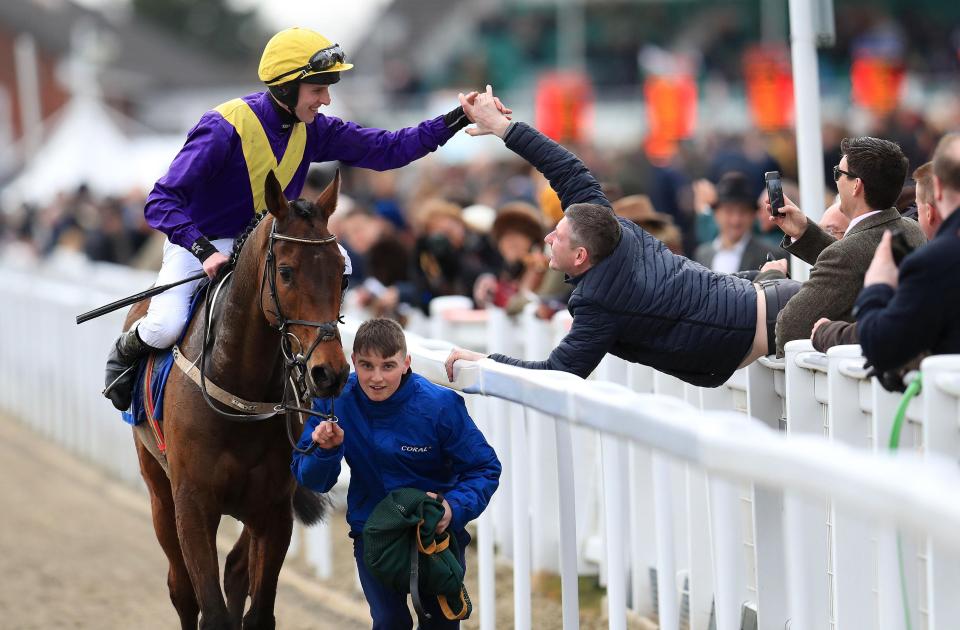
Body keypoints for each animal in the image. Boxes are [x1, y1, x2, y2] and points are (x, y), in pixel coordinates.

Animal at [125, 170, 350, 628]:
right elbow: (209, 610)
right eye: (286, 272)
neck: (240, 397)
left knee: (234, 569)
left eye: (342, 274)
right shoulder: (192, 505)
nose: (330, 372)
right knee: (180, 587)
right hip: (158, 487)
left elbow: (258, 611)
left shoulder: (274, 509)